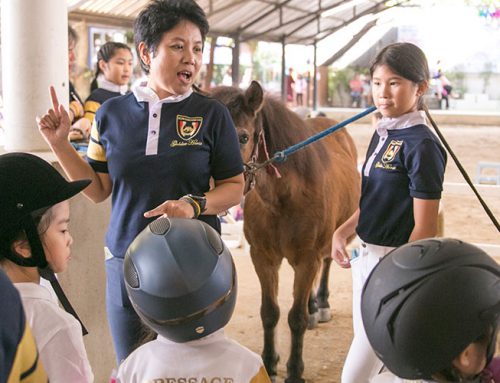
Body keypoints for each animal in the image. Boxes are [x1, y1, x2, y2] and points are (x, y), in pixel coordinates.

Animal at [211, 82, 360, 383]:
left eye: (243, 137)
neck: (283, 199)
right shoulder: (263, 258)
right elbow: (270, 312)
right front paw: (269, 362)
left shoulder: (307, 259)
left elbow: (296, 318)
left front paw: (294, 371)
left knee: (326, 263)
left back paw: (320, 304)